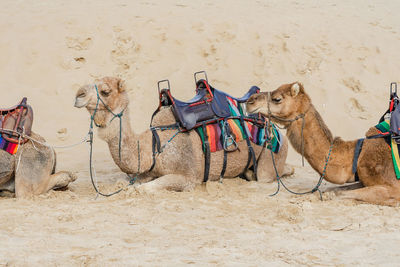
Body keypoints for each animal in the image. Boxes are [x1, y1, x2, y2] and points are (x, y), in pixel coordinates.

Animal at [73, 76, 290, 194]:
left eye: (105, 91)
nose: (78, 95)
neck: (154, 145)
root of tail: (277, 129)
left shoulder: (188, 177)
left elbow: (142, 188)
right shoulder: (145, 172)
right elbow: (133, 182)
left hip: (272, 155)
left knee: (267, 176)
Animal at [245, 82, 400, 207]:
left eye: (277, 99)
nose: (250, 101)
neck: (357, 154)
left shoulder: (393, 187)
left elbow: (336, 194)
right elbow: (332, 189)